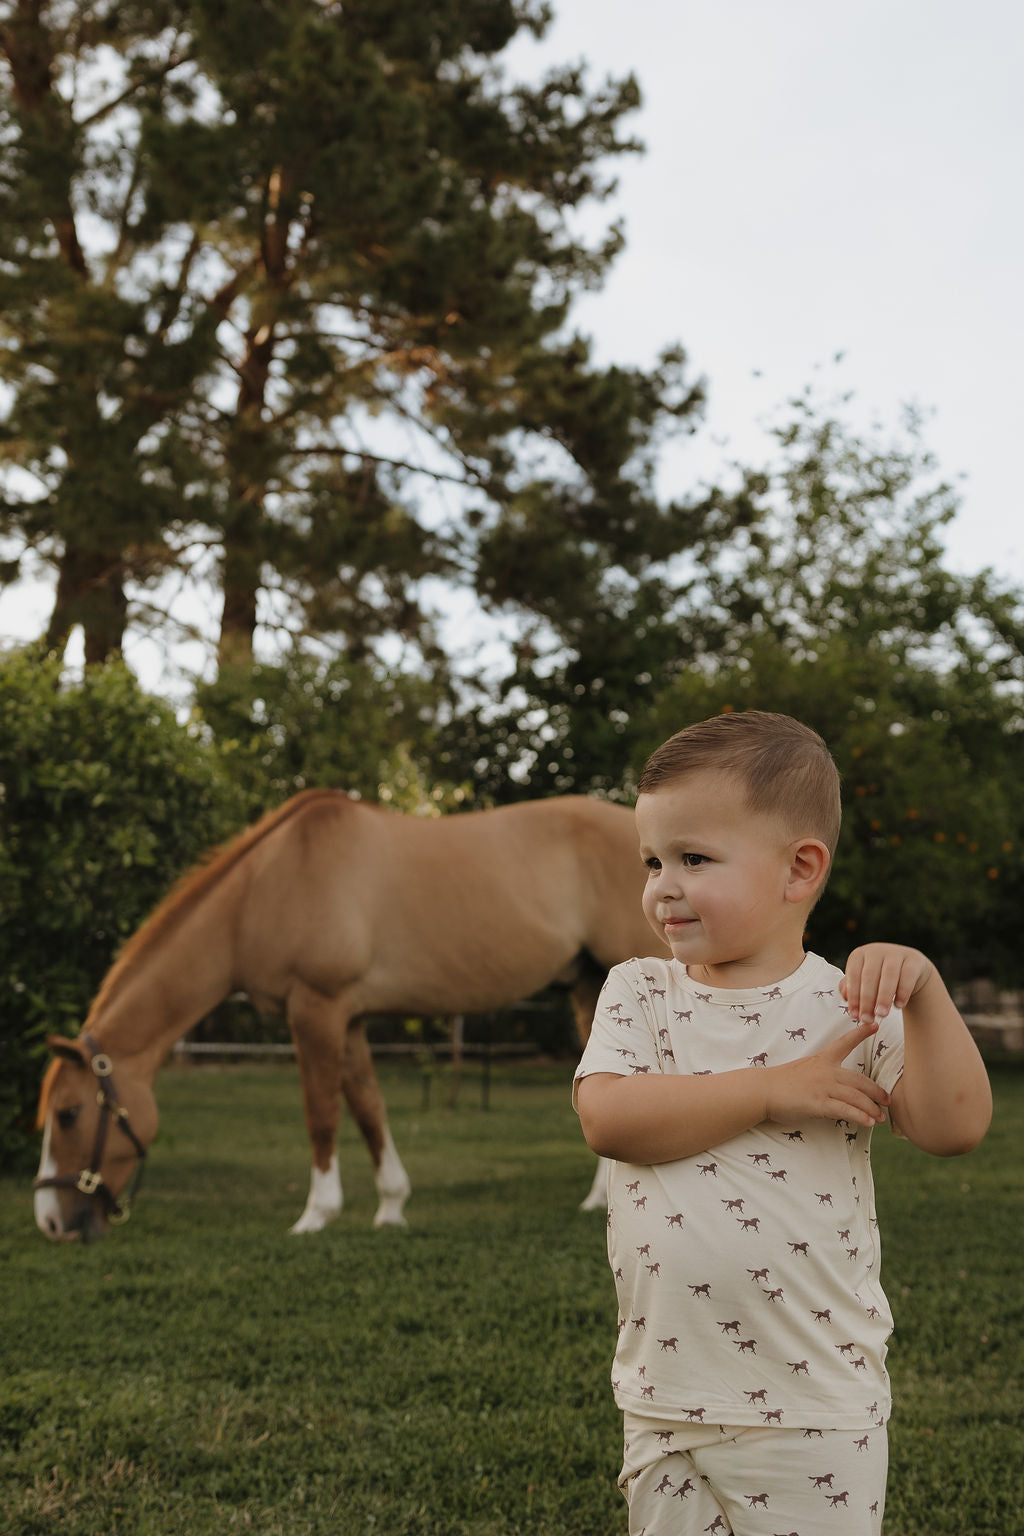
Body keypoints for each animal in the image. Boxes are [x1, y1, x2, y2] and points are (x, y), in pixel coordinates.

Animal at [34, 788, 666, 1242]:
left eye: (68, 1114)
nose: (50, 1221)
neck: (265, 888)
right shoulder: (351, 1019)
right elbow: (367, 1108)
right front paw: (391, 1206)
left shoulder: (316, 1008)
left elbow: (322, 1113)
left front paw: (316, 1215)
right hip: (589, 985)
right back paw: (596, 1199)